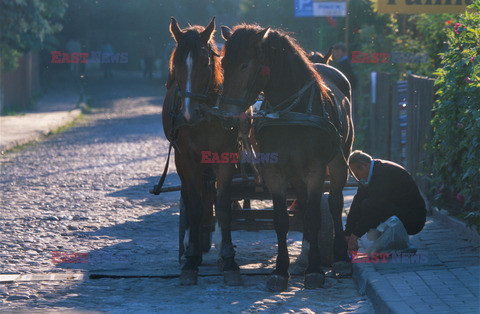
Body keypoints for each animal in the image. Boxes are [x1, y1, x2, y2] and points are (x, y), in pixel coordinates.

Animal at [161, 17, 236, 288]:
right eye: (176, 64)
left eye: (205, 63)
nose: (187, 114)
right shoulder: (188, 159)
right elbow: (193, 204)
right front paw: (191, 259)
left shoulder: (226, 156)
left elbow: (223, 204)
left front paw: (229, 259)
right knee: (190, 194)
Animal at [220, 25, 352, 292]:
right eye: (223, 64)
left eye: (245, 65)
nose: (228, 115)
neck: (291, 111)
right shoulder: (275, 171)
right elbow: (282, 220)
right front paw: (281, 271)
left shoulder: (316, 170)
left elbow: (315, 216)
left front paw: (315, 270)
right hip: (297, 174)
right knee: (302, 204)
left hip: (339, 161)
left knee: (334, 203)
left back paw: (340, 258)